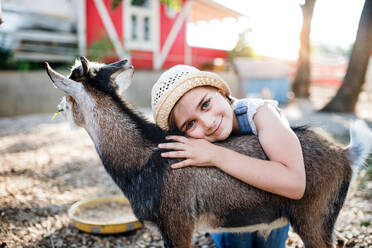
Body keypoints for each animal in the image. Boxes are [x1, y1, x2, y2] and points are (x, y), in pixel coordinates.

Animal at [46, 57, 372, 247]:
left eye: (67, 94)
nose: (59, 109)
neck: (146, 159)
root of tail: (345, 153)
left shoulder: (177, 222)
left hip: (314, 218)